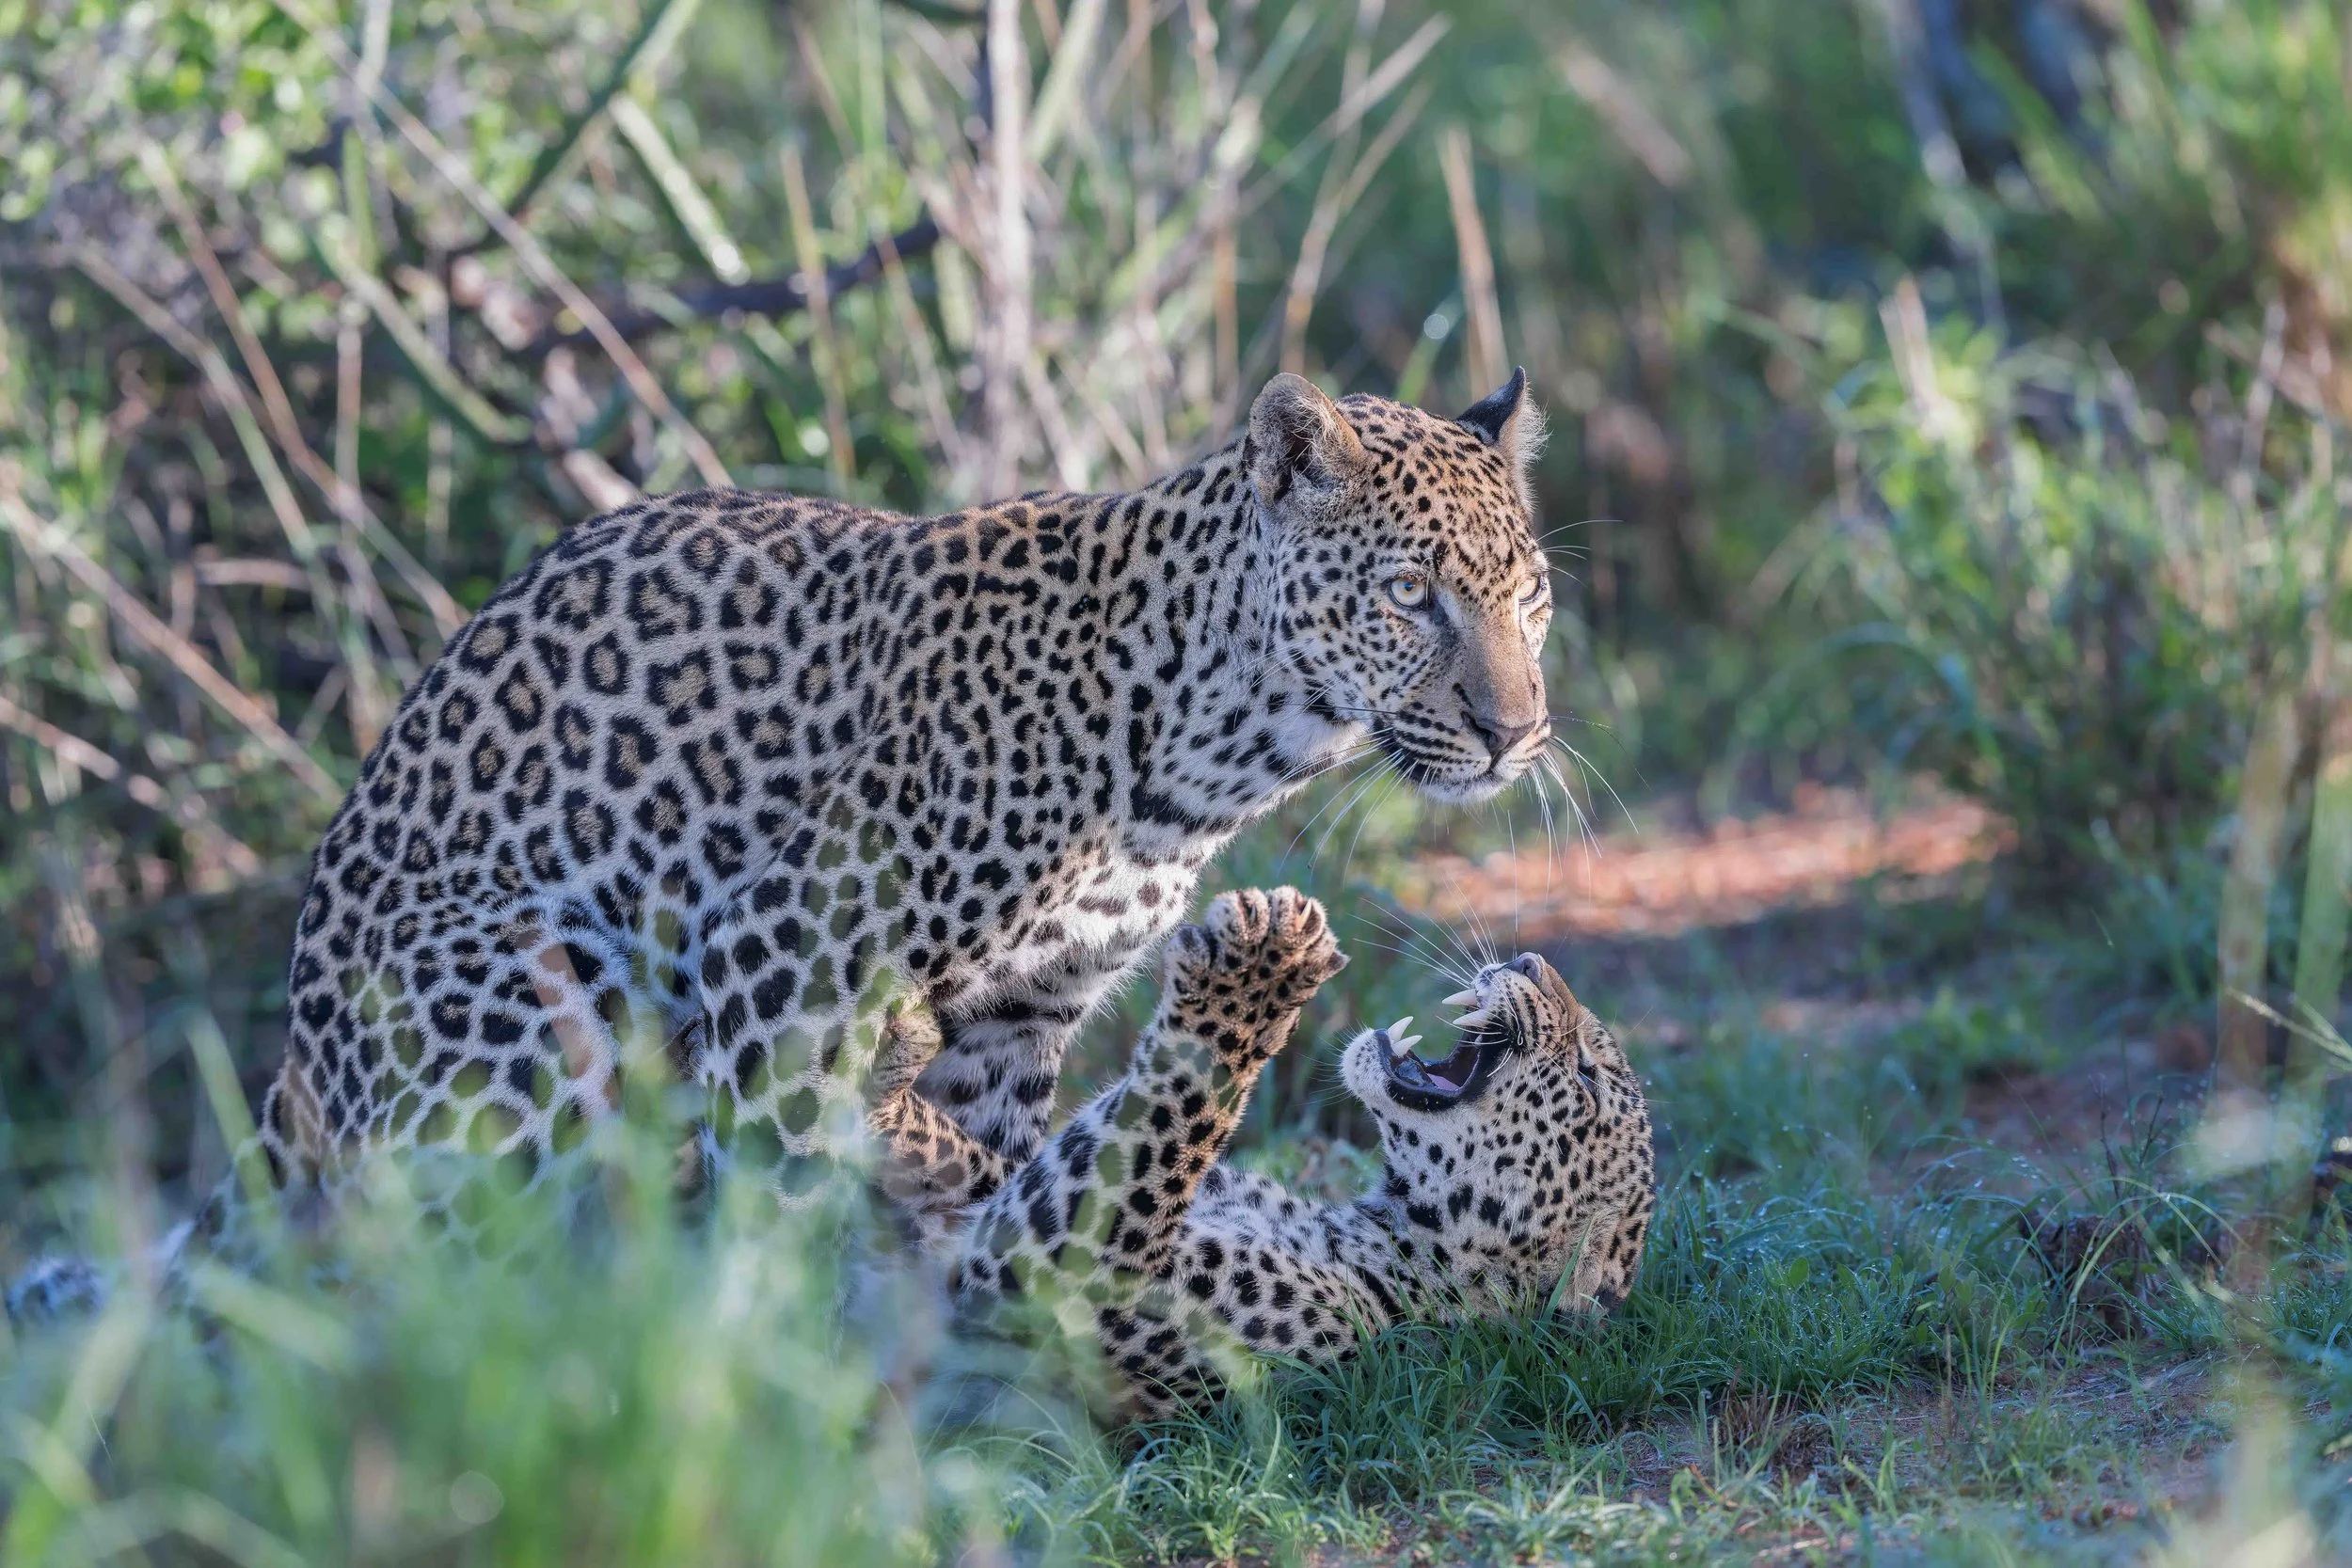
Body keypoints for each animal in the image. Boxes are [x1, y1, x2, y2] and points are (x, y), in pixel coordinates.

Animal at [871, 886, 1655, 1417]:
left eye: (1587, 1073)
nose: (1532, 957)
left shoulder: (1053, 1280)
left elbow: (1172, 1119)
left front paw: (1257, 976)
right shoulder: (988, 1199)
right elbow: (967, 1153)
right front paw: (888, 1056)